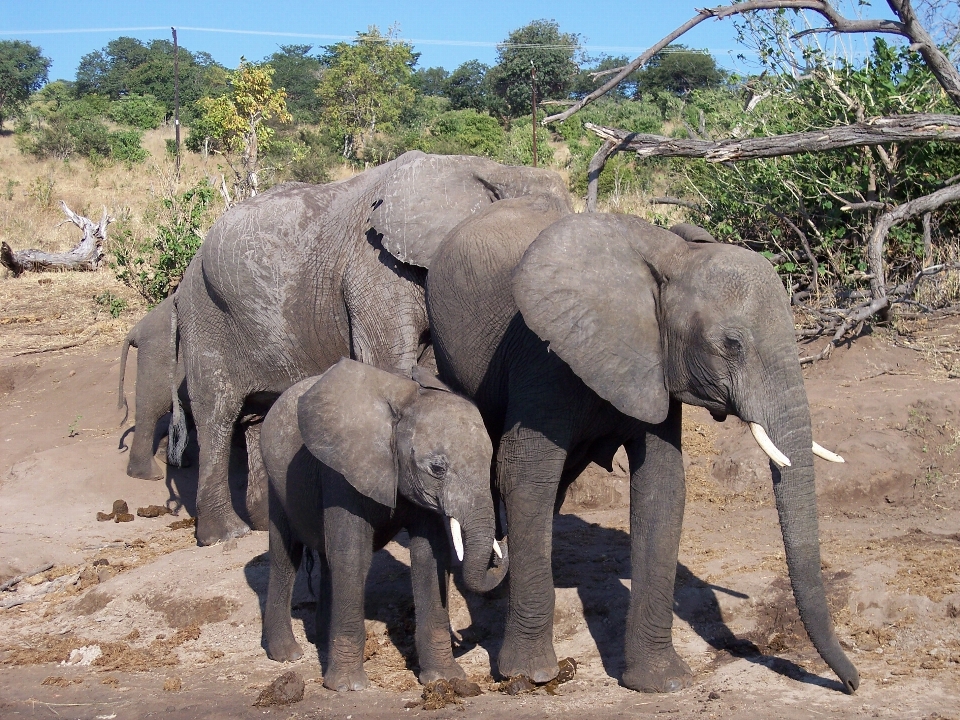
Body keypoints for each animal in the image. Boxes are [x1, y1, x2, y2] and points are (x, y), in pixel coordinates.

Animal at [172, 152, 568, 544]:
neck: (491, 169)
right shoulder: (373, 268)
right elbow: (390, 364)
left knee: (257, 415)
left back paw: (263, 522)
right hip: (204, 312)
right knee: (217, 411)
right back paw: (225, 535)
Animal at [258, 360, 506, 692]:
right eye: (437, 469)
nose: (501, 547)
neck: (403, 406)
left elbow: (429, 556)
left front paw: (445, 679)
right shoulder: (340, 470)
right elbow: (353, 556)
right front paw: (347, 687)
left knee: (326, 558)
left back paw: (321, 642)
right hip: (275, 481)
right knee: (287, 555)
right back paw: (287, 654)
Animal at [408, 195, 860, 692]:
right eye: (732, 344)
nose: (852, 683)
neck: (673, 257)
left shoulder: (655, 363)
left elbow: (663, 486)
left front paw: (662, 683)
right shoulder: (541, 355)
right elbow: (525, 477)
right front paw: (530, 677)